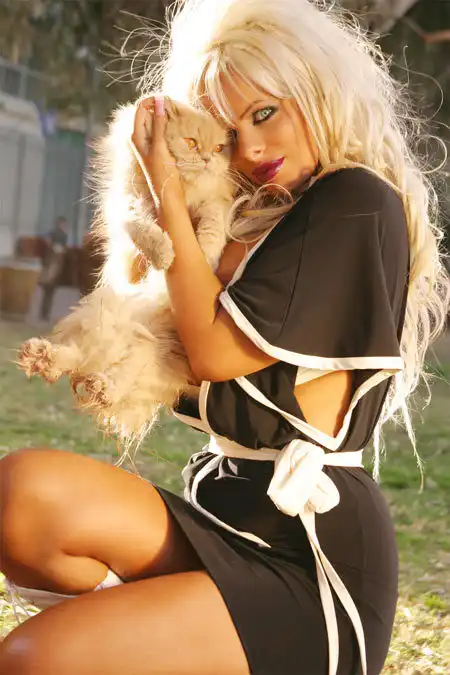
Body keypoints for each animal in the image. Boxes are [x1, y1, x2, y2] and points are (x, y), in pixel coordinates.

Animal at [17, 96, 235, 450]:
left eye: (218, 148)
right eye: (191, 143)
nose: (206, 159)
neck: (186, 191)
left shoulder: (217, 201)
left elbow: (214, 224)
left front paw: (203, 250)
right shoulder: (131, 201)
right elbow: (142, 228)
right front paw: (164, 252)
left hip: (143, 353)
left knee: (115, 377)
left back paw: (88, 380)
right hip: (108, 320)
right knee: (77, 357)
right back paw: (42, 357)